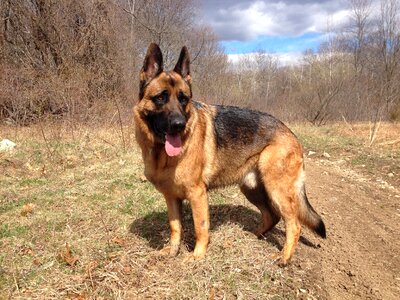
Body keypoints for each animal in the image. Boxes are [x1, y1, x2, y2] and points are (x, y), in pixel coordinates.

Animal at [133, 42, 326, 264]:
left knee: (294, 224)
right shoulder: (171, 198)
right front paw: (172, 251)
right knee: (272, 216)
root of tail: (292, 134)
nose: (179, 125)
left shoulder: (197, 195)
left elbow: (200, 228)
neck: (160, 153)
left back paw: (284, 257)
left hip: (277, 190)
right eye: (160, 98)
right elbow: (175, 227)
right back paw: (253, 236)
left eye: (183, 99)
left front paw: (197, 256)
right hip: (252, 189)